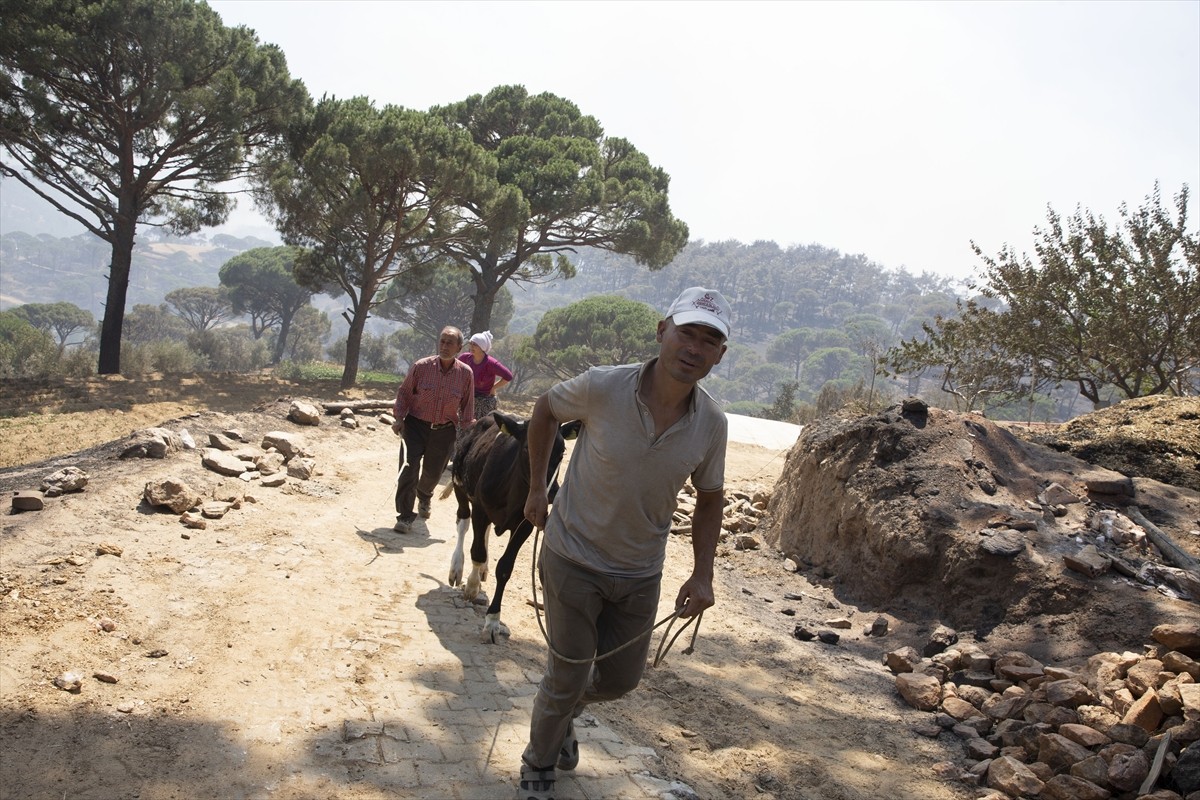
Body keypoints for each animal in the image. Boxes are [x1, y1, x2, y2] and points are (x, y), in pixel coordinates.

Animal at [446, 412, 580, 642]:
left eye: (562, 451)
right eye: (527, 448)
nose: (552, 491)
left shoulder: (525, 526)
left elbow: (505, 568)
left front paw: (492, 621)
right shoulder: (480, 509)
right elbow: (477, 552)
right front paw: (472, 586)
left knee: (484, 533)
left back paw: (483, 570)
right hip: (459, 486)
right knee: (463, 523)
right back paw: (457, 568)